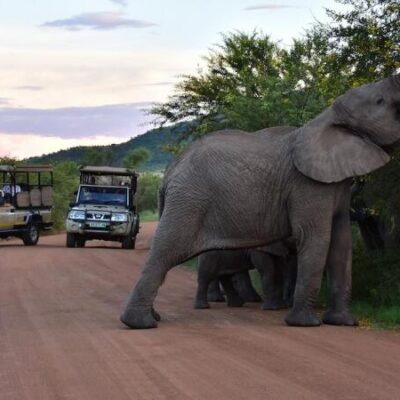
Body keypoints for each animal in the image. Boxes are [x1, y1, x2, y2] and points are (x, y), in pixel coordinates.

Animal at [122, 75, 400, 328]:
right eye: (380, 101)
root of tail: (169, 172)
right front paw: (305, 324)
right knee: (167, 251)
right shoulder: (307, 185)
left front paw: (343, 323)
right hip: (189, 200)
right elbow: (315, 238)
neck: (327, 116)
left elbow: (342, 244)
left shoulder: (338, 184)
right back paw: (141, 323)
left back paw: (154, 317)